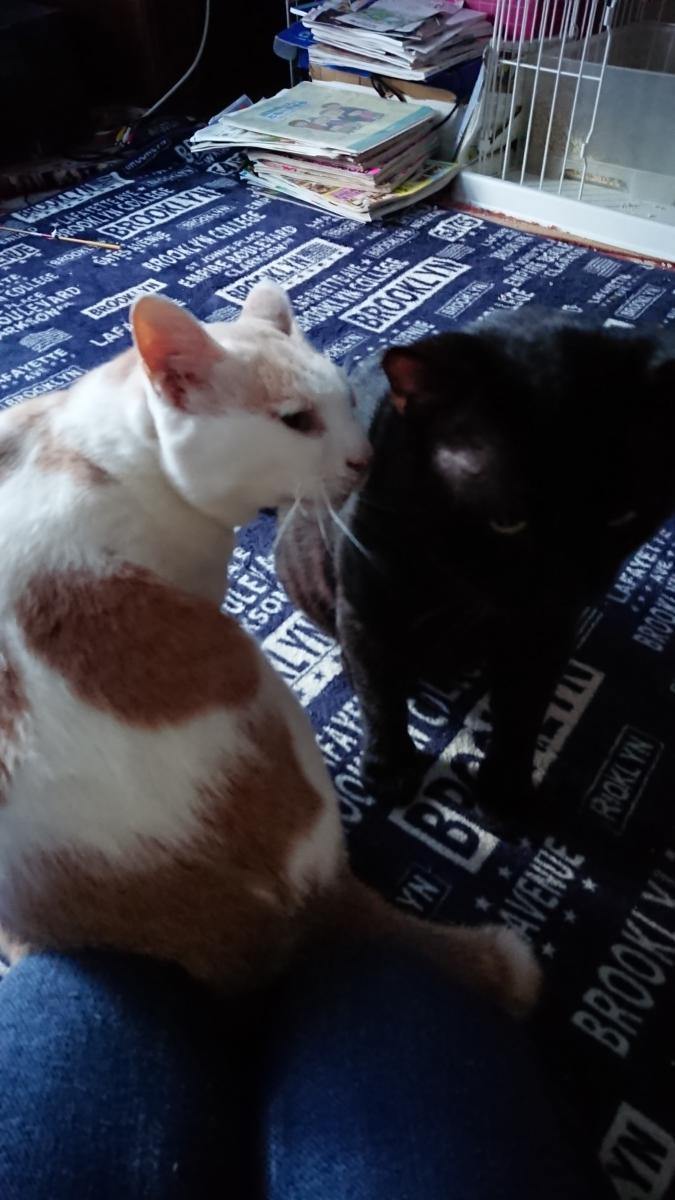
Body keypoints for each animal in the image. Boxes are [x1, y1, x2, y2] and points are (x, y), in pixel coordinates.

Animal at [0, 282, 539, 1016]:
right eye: (295, 421)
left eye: (346, 401)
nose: (364, 459)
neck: (108, 449)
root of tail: (308, 910)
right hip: (267, 691)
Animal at [276, 309, 675, 824]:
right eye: (507, 521)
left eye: (622, 516)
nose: (570, 585)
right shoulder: (368, 610)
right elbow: (381, 699)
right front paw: (390, 770)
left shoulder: (546, 633)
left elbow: (524, 710)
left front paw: (506, 789)